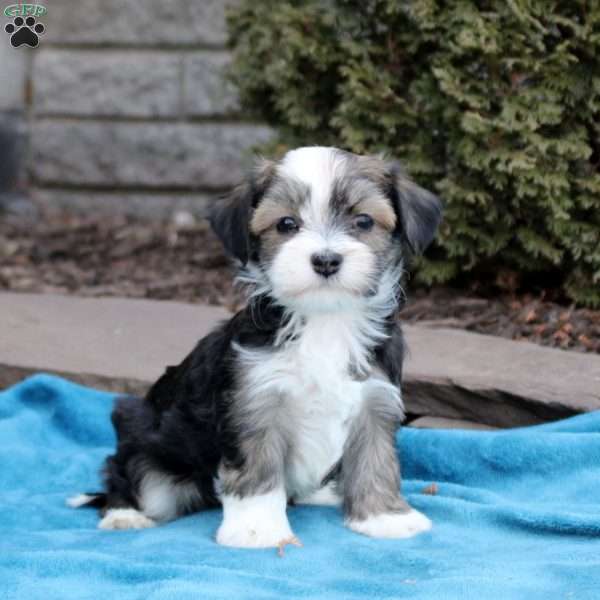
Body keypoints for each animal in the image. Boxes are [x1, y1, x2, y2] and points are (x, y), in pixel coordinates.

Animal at [69, 148, 440, 552]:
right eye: (286, 224)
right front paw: (257, 529)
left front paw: (384, 517)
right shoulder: (255, 404)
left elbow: (377, 458)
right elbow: (258, 467)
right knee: (126, 476)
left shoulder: (375, 398)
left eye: (363, 221)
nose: (326, 260)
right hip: (146, 449)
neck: (325, 319)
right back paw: (124, 514)